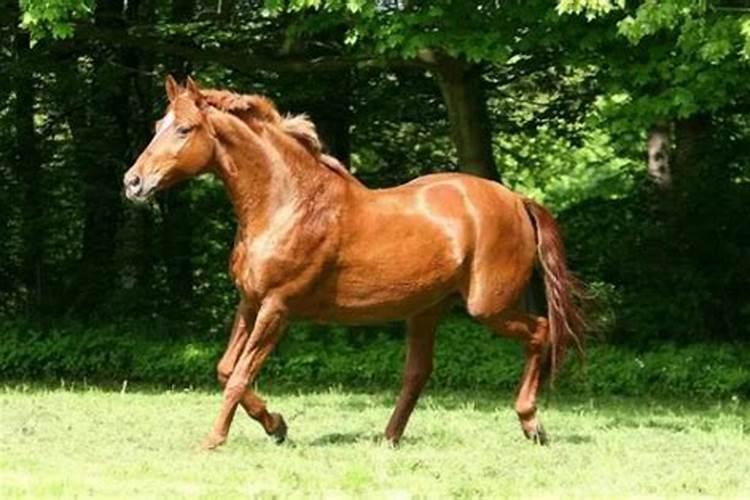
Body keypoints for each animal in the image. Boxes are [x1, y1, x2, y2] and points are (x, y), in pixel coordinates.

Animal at [123, 76, 584, 452]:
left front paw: (214, 441)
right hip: (427, 309)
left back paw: (531, 424)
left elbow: (238, 376)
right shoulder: (250, 302)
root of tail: (517, 200)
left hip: (488, 307)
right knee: (418, 372)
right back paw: (388, 438)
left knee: (540, 333)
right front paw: (277, 425)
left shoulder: (277, 308)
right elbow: (225, 370)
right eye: (157, 126)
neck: (288, 203)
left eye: (184, 129)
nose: (133, 183)